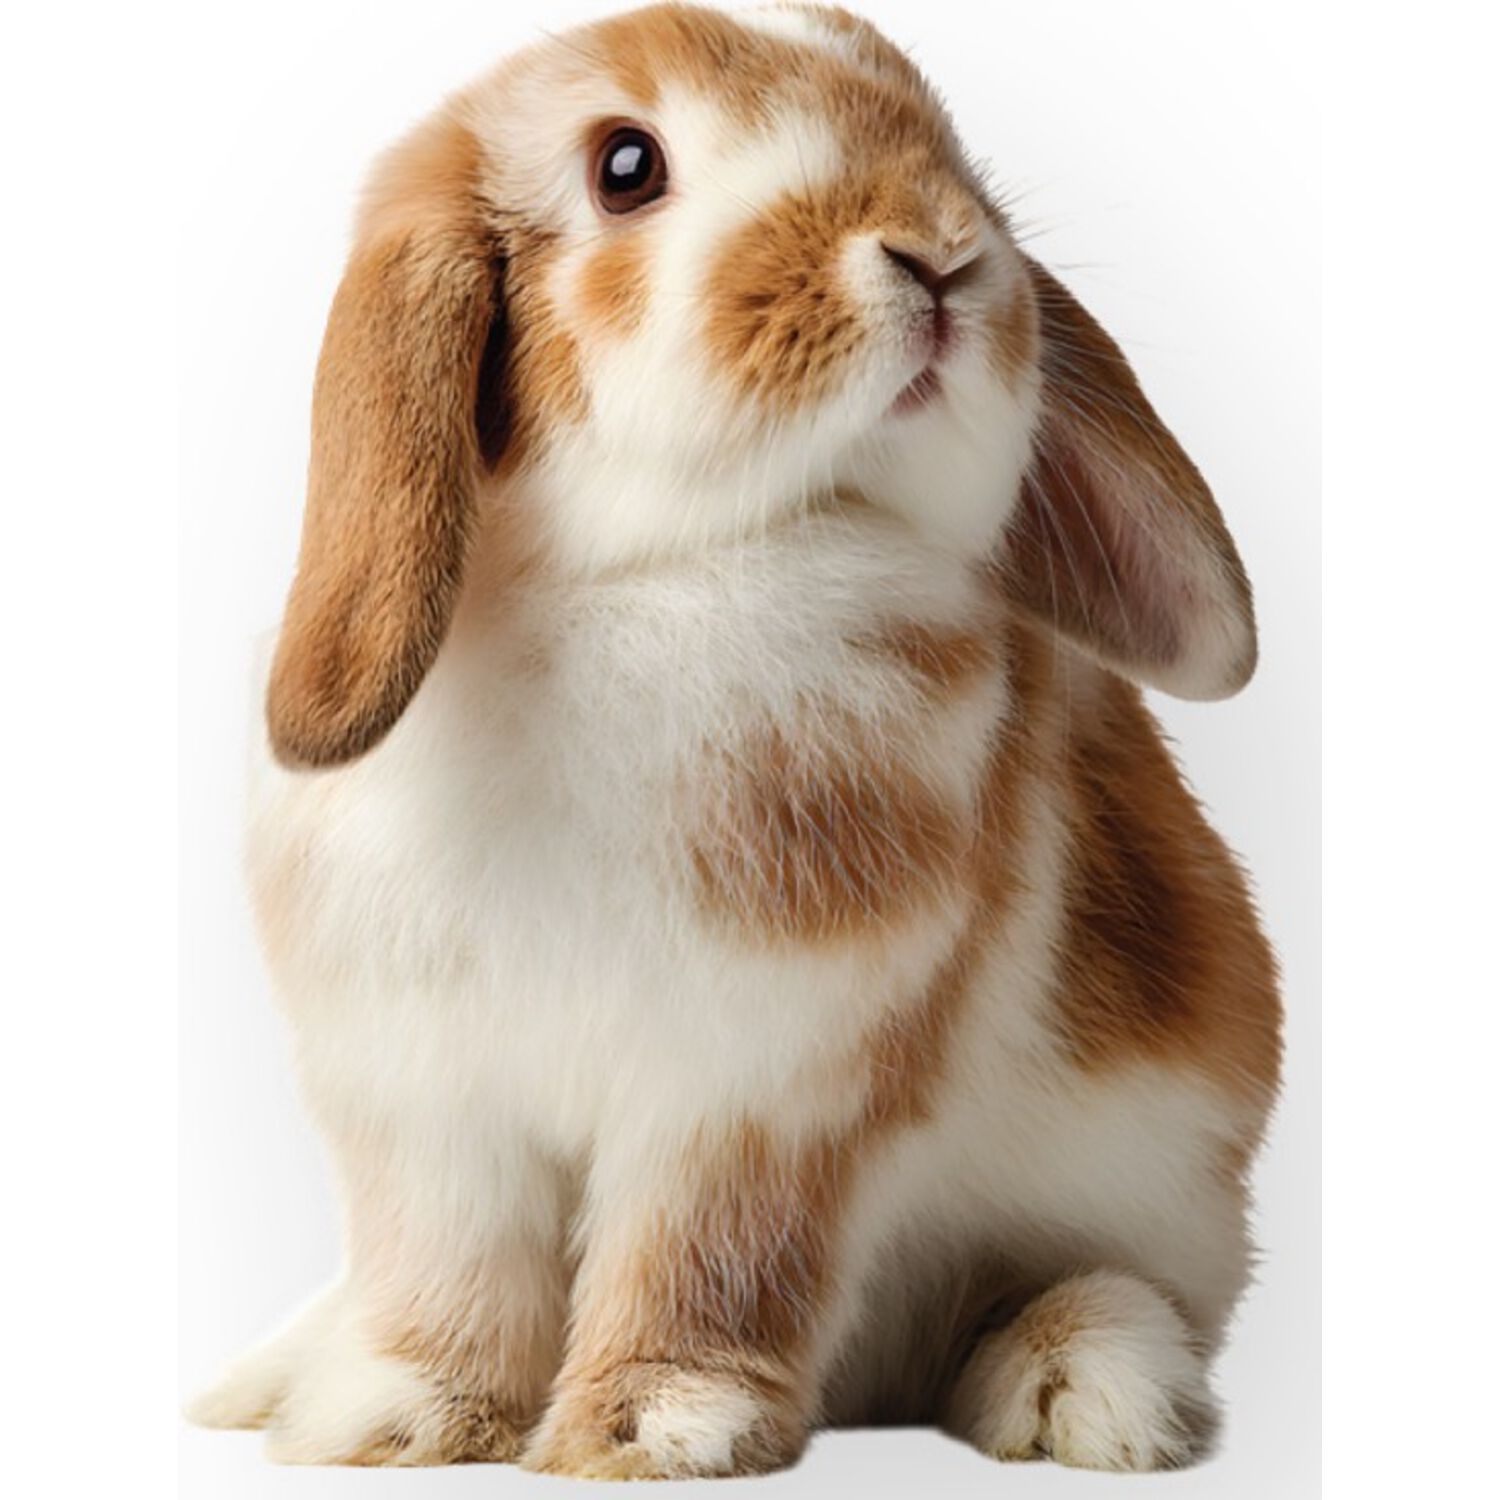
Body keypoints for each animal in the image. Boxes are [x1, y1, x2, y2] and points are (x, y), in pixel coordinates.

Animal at [187, 1, 1281, 1479]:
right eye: (626, 167)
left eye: (947, 142)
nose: (943, 250)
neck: (637, 575)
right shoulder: (428, 1105)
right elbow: (447, 1269)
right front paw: (401, 1419)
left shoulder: (761, 1092)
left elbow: (706, 1258)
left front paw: (657, 1428)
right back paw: (278, 1374)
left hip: (1144, 1210)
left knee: (1090, 1289)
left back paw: (1082, 1387)